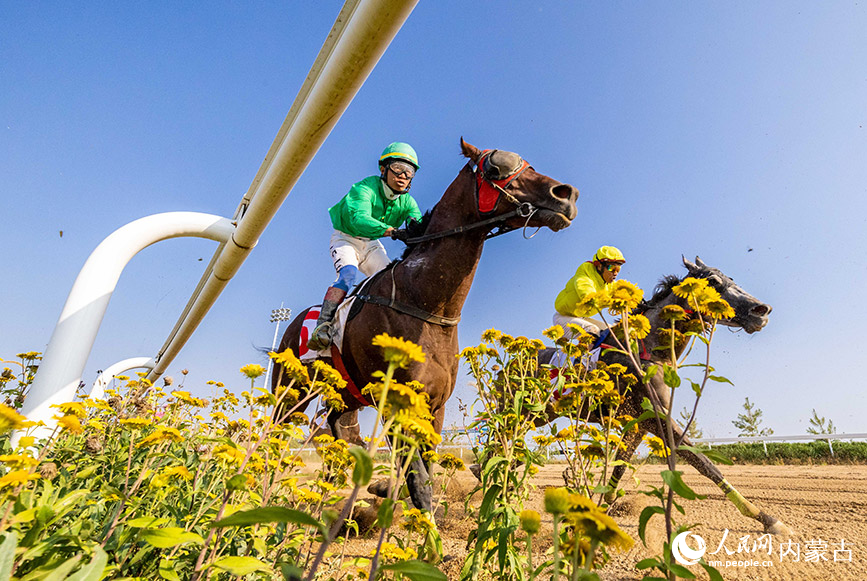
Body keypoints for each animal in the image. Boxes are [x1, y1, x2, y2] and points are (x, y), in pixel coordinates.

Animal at [274, 138, 580, 510]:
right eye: (496, 169)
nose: (566, 194)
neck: (425, 302)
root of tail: (294, 323)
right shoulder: (396, 406)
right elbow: (418, 481)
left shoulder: (436, 407)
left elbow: (427, 471)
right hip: (288, 392)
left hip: (346, 394)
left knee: (337, 427)